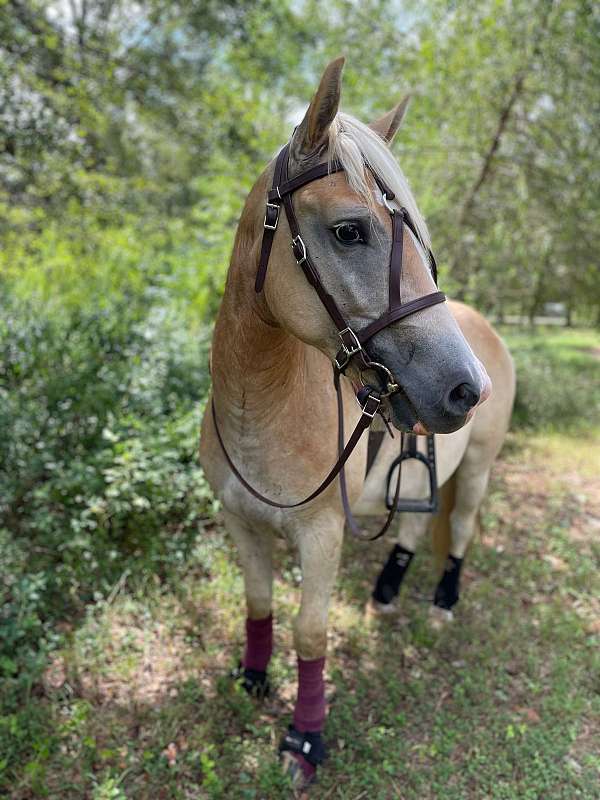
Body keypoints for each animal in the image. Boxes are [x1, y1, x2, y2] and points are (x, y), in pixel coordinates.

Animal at [200, 57, 516, 788]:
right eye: (350, 230)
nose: (467, 389)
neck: (260, 409)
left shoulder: (321, 535)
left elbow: (310, 633)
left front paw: (304, 740)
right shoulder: (239, 523)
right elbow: (258, 605)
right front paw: (252, 681)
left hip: (478, 468)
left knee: (460, 526)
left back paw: (443, 602)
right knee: (413, 523)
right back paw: (388, 590)